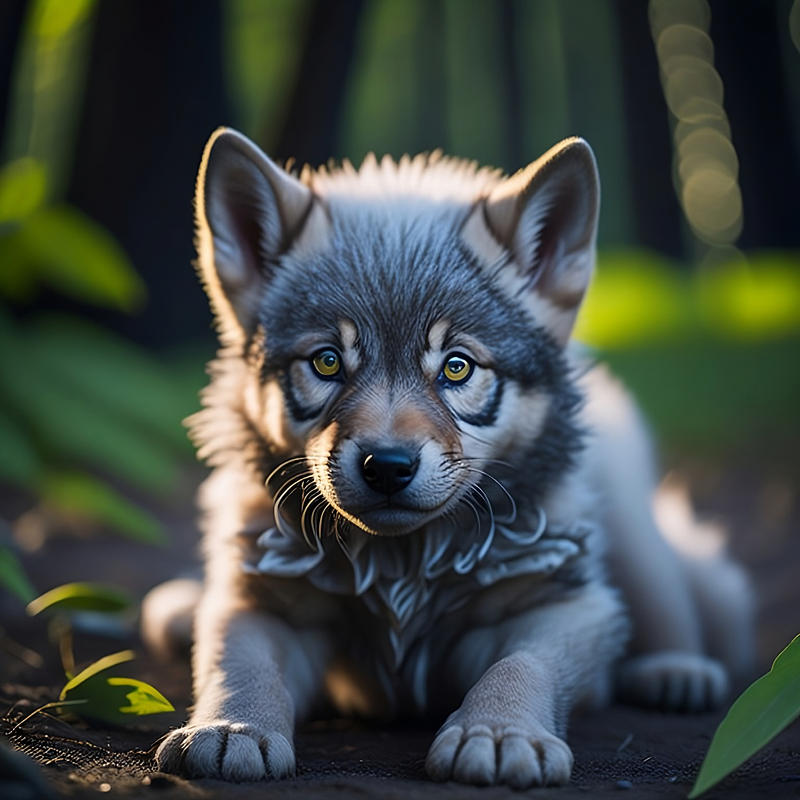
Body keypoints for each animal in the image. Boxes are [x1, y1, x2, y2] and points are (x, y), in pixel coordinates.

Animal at [143, 128, 753, 787]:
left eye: (457, 367)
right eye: (327, 362)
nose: (387, 466)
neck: (402, 566)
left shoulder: (566, 605)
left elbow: (521, 665)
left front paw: (498, 732)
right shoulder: (260, 604)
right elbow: (239, 665)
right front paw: (234, 728)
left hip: (631, 529)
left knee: (669, 598)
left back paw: (675, 668)